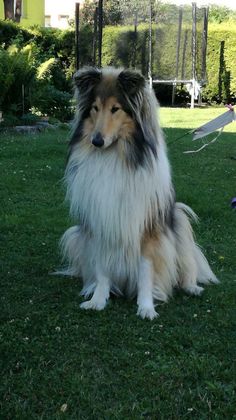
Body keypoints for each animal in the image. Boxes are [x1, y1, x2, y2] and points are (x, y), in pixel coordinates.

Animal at [60, 67, 218, 320]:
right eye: (95, 108)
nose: (96, 141)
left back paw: (192, 287)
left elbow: (146, 270)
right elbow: (102, 269)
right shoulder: (101, 223)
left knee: (187, 265)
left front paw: (146, 306)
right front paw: (98, 300)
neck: (115, 157)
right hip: (76, 235)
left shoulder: (147, 228)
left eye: (115, 109)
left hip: (179, 220)